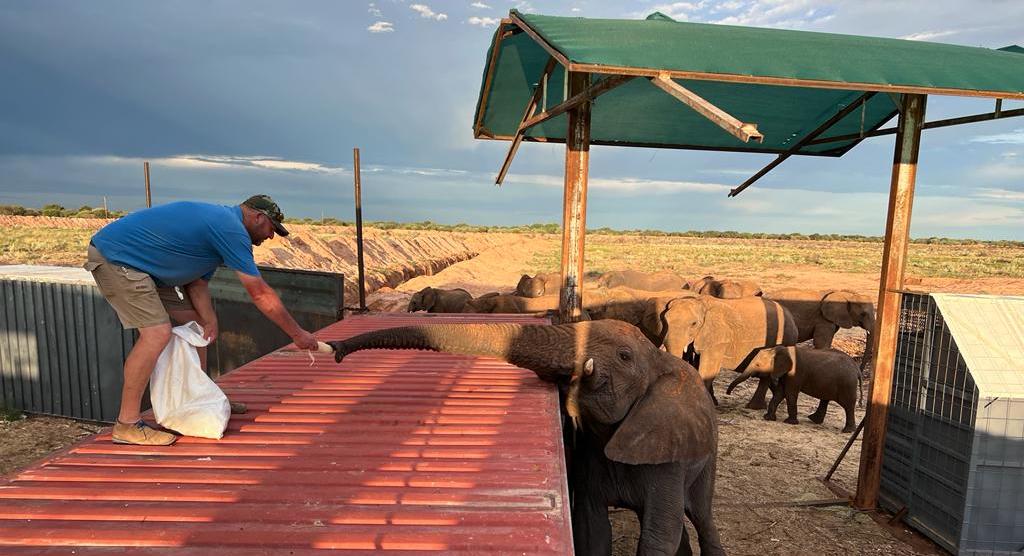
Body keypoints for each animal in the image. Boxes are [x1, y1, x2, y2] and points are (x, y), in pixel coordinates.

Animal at [328, 320, 725, 555]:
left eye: (624, 356)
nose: (334, 349)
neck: (657, 359)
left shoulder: (665, 448)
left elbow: (658, 534)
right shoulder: (592, 454)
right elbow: (592, 527)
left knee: (701, 518)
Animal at [641, 296, 798, 407]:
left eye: (694, 324)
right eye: (665, 320)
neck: (701, 303)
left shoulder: (718, 337)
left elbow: (708, 367)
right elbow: (698, 363)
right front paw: (713, 402)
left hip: (786, 337)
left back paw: (754, 407)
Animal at [725, 346, 859, 432]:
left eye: (758, 365)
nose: (728, 393)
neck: (779, 350)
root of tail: (857, 368)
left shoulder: (795, 373)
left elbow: (789, 393)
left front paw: (789, 422)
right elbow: (780, 393)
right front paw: (768, 418)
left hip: (847, 385)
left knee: (848, 405)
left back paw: (848, 431)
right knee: (826, 399)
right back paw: (814, 420)